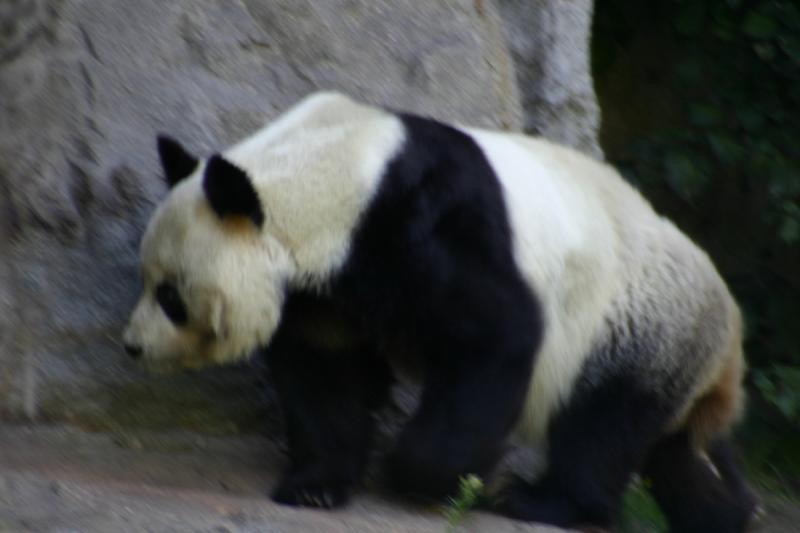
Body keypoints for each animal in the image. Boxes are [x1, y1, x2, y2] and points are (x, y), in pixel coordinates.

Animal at [123, 92, 756, 532]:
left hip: (634, 322)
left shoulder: (421, 221)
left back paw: (541, 499)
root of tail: (730, 336)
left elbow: (494, 336)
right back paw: (729, 513)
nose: (132, 345)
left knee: (601, 422)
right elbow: (326, 373)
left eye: (171, 297)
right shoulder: (327, 288)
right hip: (677, 353)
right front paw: (316, 484)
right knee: (681, 452)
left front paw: (429, 475)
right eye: (147, 281)